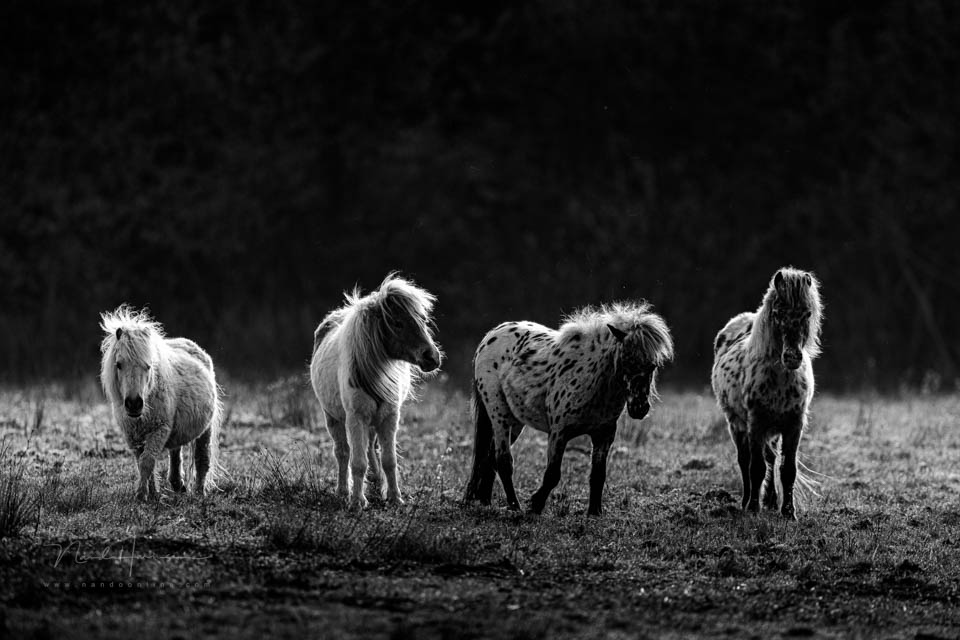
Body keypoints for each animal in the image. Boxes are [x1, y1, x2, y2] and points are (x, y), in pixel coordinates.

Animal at [99, 305, 223, 501]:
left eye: (148, 365)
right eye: (119, 364)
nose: (134, 404)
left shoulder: (159, 430)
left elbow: (147, 461)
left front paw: (142, 495)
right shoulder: (133, 436)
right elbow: (143, 462)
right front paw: (153, 493)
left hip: (206, 429)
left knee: (202, 458)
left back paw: (199, 493)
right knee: (176, 454)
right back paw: (178, 485)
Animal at [309, 274, 442, 509]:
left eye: (423, 320)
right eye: (397, 323)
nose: (432, 357)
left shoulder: (389, 417)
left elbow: (389, 460)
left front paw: (394, 497)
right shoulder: (356, 418)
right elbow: (357, 461)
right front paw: (356, 501)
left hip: (373, 420)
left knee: (371, 448)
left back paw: (376, 482)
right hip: (333, 417)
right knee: (343, 452)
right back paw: (343, 491)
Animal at [463, 302, 674, 516]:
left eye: (652, 366)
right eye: (627, 361)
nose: (639, 408)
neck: (593, 379)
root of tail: (490, 337)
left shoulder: (604, 435)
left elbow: (598, 475)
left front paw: (594, 512)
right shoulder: (559, 433)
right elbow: (552, 475)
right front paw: (535, 505)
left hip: (515, 421)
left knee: (490, 458)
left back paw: (485, 501)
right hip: (499, 414)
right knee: (503, 460)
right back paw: (515, 506)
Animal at [711, 267, 823, 520]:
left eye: (807, 313)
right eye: (778, 313)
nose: (792, 357)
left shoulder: (793, 424)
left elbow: (787, 469)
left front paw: (788, 512)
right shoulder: (756, 423)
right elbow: (756, 467)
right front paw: (753, 508)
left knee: (771, 459)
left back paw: (771, 501)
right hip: (736, 424)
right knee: (745, 461)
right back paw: (746, 501)